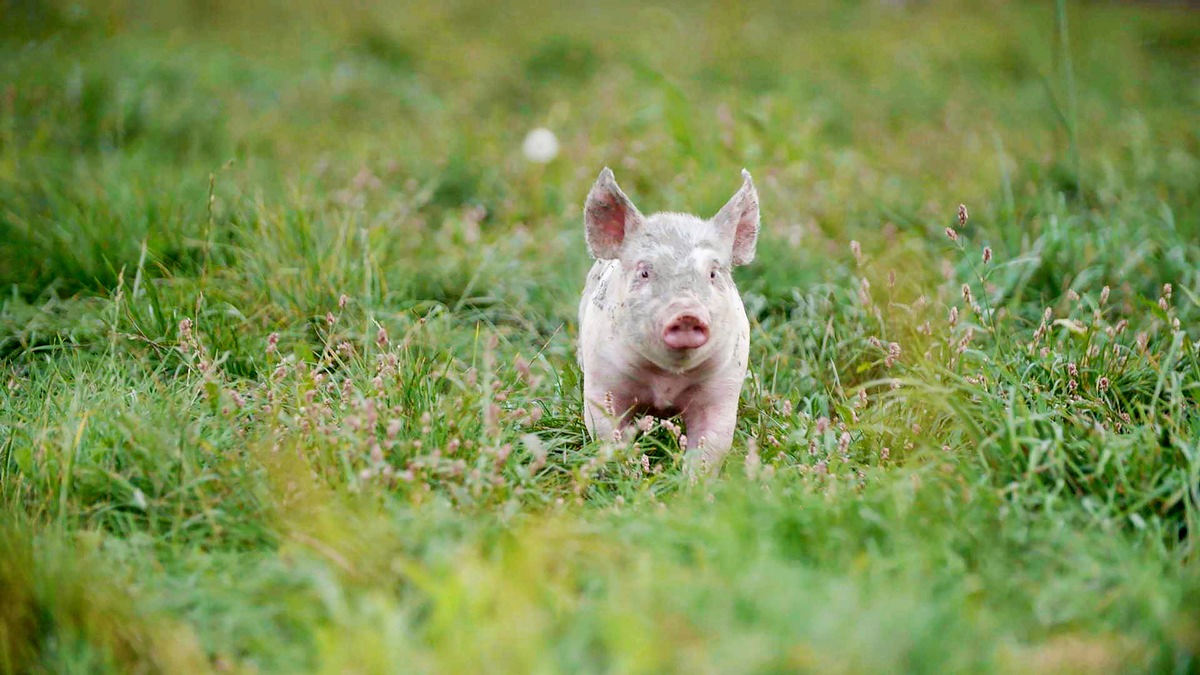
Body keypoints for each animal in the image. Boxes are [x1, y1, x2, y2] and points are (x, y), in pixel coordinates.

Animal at [573, 166, 758, 468]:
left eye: (713, 273)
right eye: (645, 272)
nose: (686, 312)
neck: (666, 382)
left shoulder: (724, 385)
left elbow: (711, 443)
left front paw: (693, 479)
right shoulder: (603, 380)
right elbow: (607, 431)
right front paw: (631, 469)